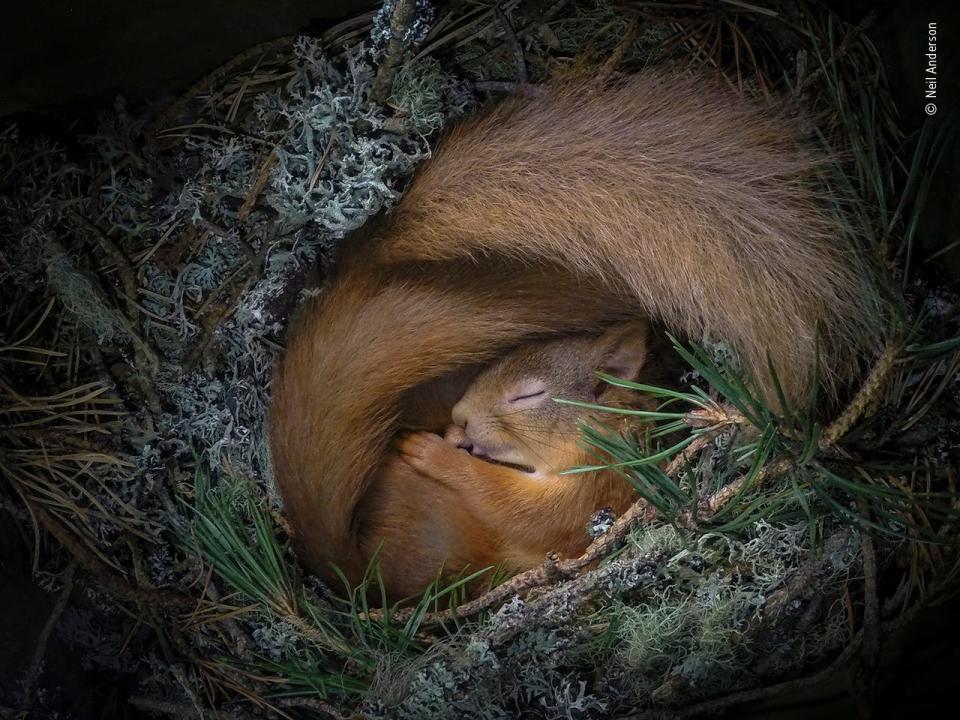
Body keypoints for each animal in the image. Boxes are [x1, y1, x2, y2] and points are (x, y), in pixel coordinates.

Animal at [266, 71, 880, 600]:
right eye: (494, 365)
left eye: (530, 395)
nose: (459, 419)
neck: (607, 432)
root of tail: (350, 570)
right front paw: (449, 438)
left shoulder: (594, 489)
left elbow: (521, 510)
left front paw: (436, 452)